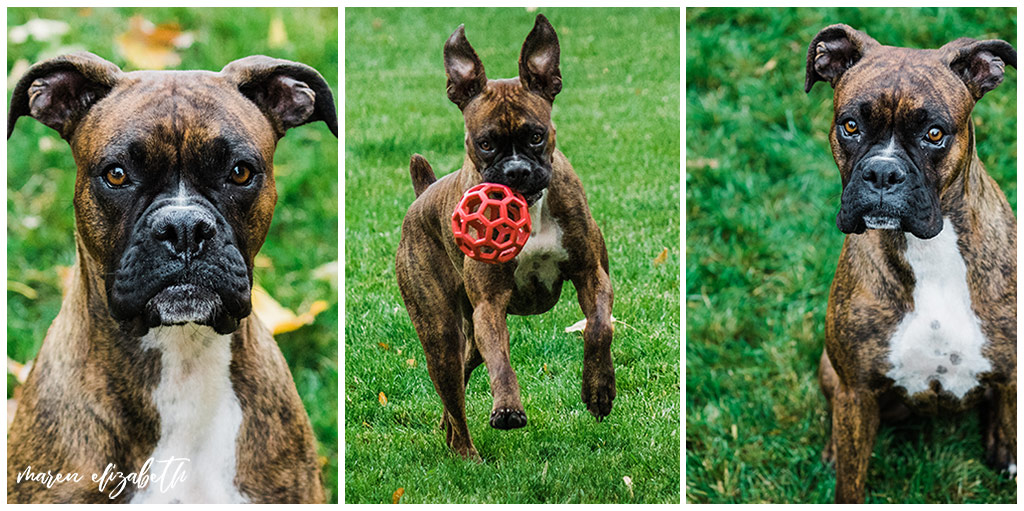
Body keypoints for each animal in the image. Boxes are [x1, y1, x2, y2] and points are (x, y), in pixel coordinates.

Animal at [395, 14, 610, 462]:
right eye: (486, 143)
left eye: (536, 136)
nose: (516, 171)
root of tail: (423, 194)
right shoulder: (490, 304)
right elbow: (502, 361)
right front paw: (507, 408)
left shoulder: (592, 275)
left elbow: (599, 328)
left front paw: (599, 391)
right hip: (440, 333)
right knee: (454, 392)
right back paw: (467, 456)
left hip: (464, 336)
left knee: (458, 385)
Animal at [806, 24, 1015, 503]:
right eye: (850, 126)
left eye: (935, 134)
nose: (883, 173)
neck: (929, 253)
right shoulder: (857, 391)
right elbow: (851, 480)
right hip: (831, 370)